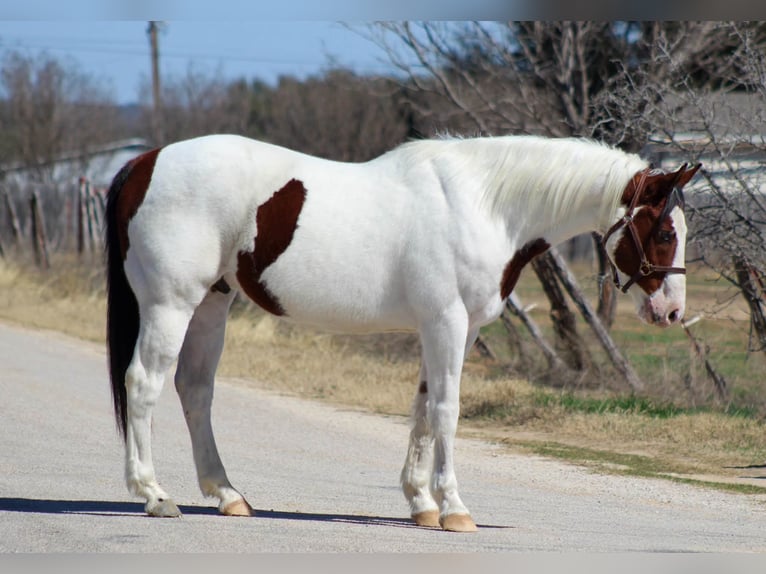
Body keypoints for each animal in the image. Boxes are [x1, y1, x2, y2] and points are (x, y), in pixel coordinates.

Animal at [104, 134, 700, 532]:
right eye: (665, 231)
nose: (672, 311)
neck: (485, 205)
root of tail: (144, 162)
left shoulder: (451, 329)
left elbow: (422, 410)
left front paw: (422, 505)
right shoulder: (447, 322)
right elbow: (447, 411)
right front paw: (455, 508)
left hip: (211, 304)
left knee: (195, 390)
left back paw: (227, 494)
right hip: (171, 304)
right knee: (144, 385)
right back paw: (155, 495)